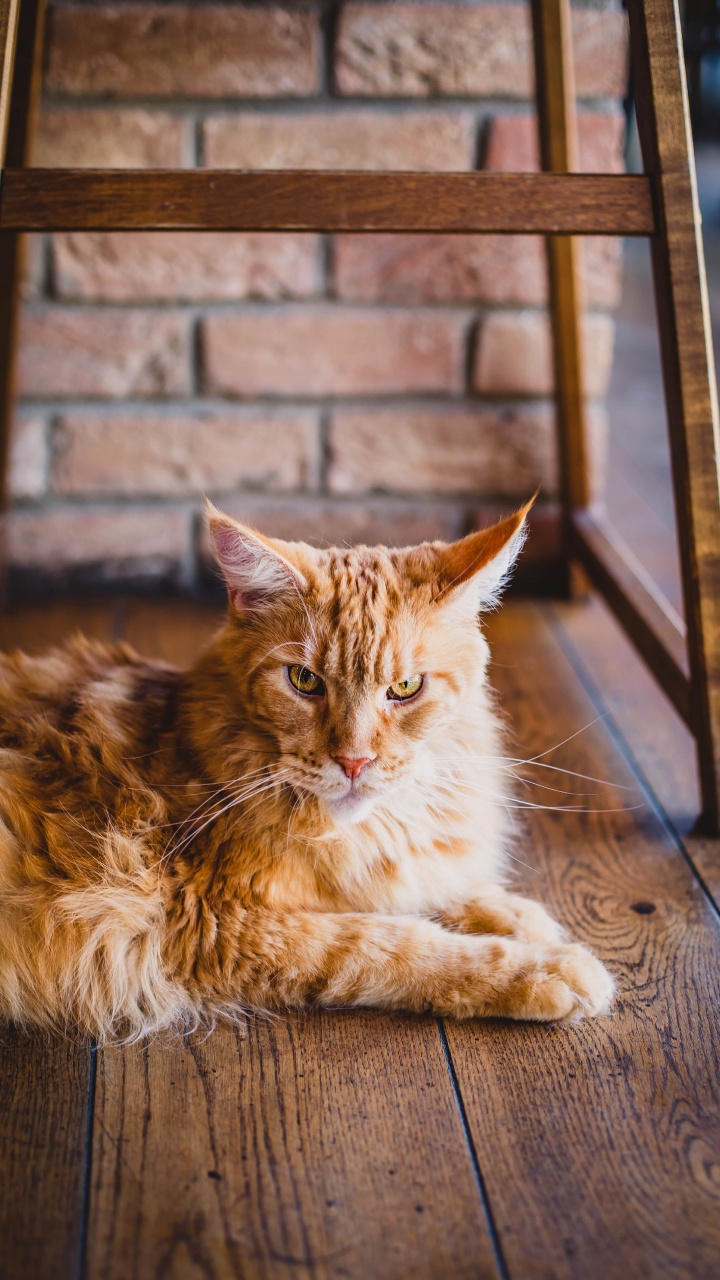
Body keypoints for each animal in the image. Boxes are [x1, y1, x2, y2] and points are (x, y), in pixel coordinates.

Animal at [0, 499, 609, 1039]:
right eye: (305, 681)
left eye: (405, 687)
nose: (355, 761)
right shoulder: (214, 922)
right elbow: (394, 942)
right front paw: (545, 967)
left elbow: (441, 890)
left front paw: (519, 916)